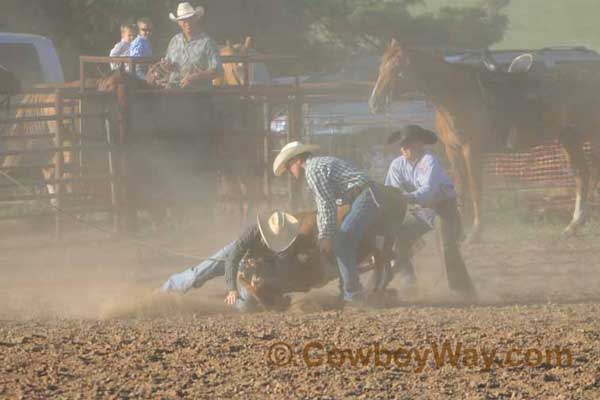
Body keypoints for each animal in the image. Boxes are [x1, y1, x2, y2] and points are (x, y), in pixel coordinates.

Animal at [370, 39, 600, 241]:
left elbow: (475, 189)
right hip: (570, 140)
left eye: (396, 68)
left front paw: (476, 233)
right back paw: (573, 226)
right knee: (583, 174)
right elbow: (460, 188)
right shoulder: (453, 149)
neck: (455, 96)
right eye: (380, 66)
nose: (374, 103)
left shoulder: (472, 150)